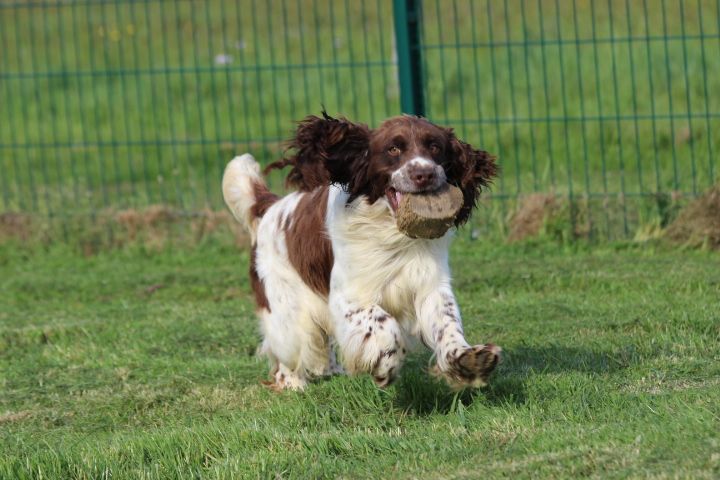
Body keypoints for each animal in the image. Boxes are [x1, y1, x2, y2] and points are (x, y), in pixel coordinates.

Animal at [224, 113, 500, 390]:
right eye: (393, 149)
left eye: (434, 147)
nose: (425, 173)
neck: (391, 231)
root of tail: (270, 206)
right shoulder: (348, 296)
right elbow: (384, 324)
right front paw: (385, 365)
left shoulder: (429, 284)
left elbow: (447, 322)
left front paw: (468, 360)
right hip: (287, 314)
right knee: (288, 351)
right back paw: (293, 384)